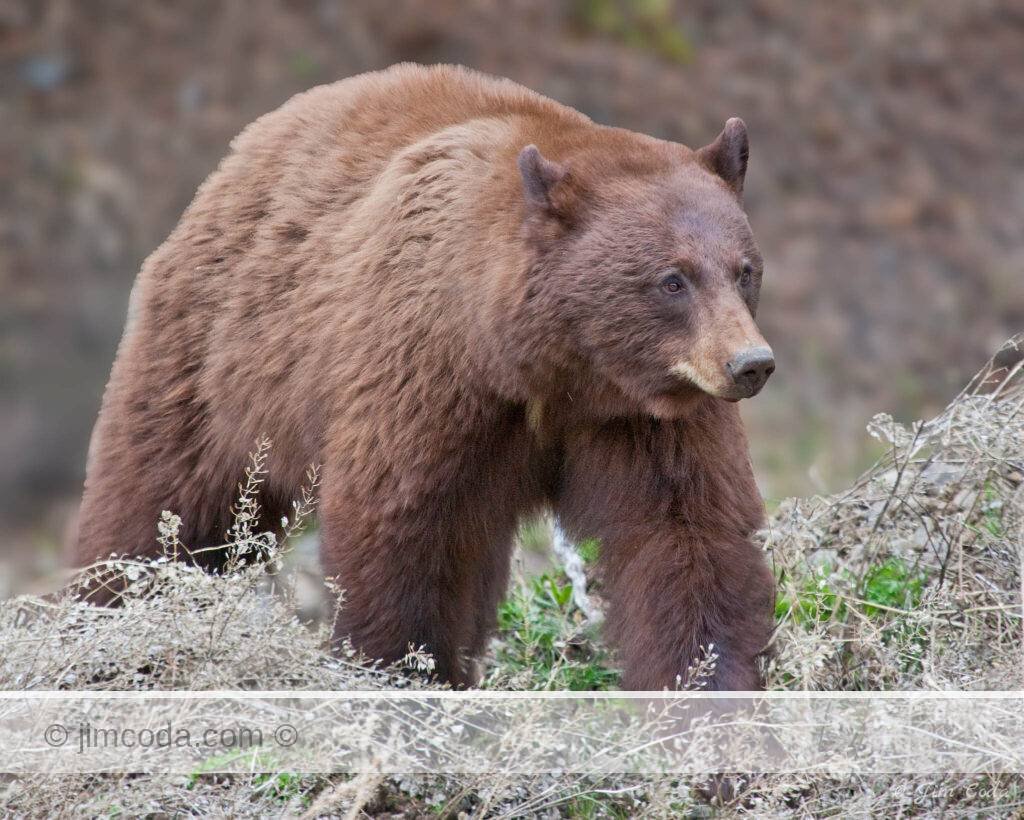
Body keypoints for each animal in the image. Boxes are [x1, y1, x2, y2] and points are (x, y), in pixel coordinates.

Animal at [73, 63, 776, 691]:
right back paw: (108, 625)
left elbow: (689, 536)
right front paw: (401, 671)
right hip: (216, 360)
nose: (751, 363)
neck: (548, 368)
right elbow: (401, 528)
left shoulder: (647, 414)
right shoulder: (427, 370)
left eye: (744, 269)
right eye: (672, 279)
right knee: (160, 505)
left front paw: (713, 698)